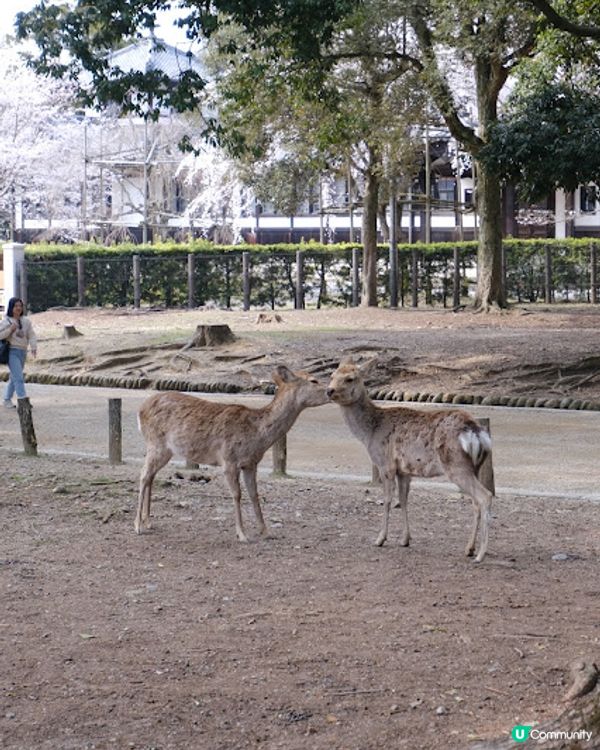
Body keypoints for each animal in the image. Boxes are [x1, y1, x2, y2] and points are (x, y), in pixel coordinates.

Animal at [135, 365, 328, 540]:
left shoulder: (251, 463)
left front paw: (266, 532)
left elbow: (254, 494)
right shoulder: (229, 459)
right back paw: (138, 526)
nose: (331, 391)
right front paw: (242, 534)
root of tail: (140, 410)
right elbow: (237, 494)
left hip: (165, 450)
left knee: (151, 475)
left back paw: (148, 522)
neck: (257, 436)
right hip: (155, 443)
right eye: (313, 380)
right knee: (144, 474)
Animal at [326, 360, 494, 563]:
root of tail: (475, 431)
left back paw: (480, 554)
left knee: (485, 496)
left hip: (456, 465)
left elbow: (387, 500)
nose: (329, 390)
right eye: (332, 375)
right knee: (475, 502)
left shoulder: (385, 464)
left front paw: (380, 539)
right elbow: (403, 500)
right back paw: (469, 549)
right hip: (474, 466)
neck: (370, 433)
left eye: (350, 378)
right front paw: (405, 539)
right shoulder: (404, 471)